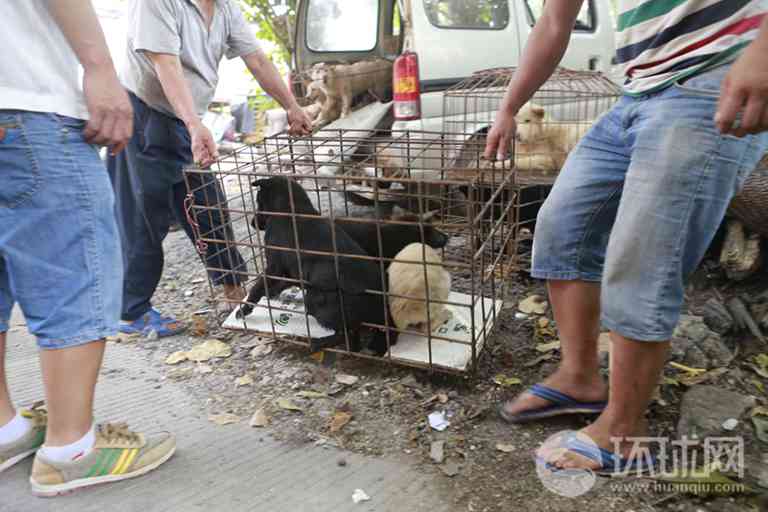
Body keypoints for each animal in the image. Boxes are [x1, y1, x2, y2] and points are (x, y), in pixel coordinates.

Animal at [238, 176, 396, 356]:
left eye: (259, 202)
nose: (252, 223)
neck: (292, 208)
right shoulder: (293, 270)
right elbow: (283, 282)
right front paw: (271, 293)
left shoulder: (274, 266)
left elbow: (258, 286)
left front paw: (245, 308)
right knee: (352, 337)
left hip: (315, 300)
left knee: (345, 334)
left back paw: (317, 343)